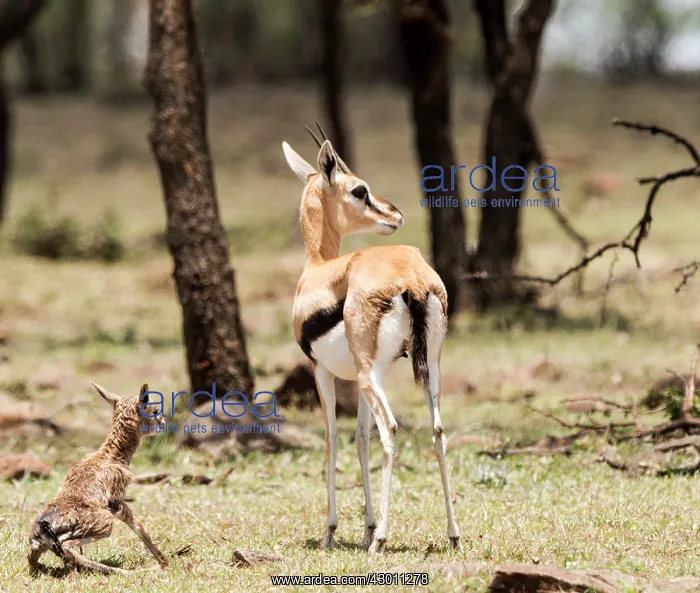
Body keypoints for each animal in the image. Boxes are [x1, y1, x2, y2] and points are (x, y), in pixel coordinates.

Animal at [28, 383, 170, 575]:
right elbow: (137, 525)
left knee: (34, 558)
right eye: (155, 410)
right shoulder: (117, 503)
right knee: (69, 548)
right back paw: (127, 572)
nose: (163, 423)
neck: (113, 455)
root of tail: (43, 528)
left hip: (38, 545)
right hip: (105, 524)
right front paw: (165, 562)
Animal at [282, 124, 461, 554]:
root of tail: (412, 276)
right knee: (437, 431)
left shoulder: (323, 371)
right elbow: (360, 439)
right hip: (425, 370)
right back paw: (452, 535)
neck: (318, 270)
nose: (395, 214)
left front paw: (333, 531)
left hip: (370, 374)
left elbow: (332, 438)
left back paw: (382, 539)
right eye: (359, 190)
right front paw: (364, 525)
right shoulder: (358, 379)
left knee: (391, 429)